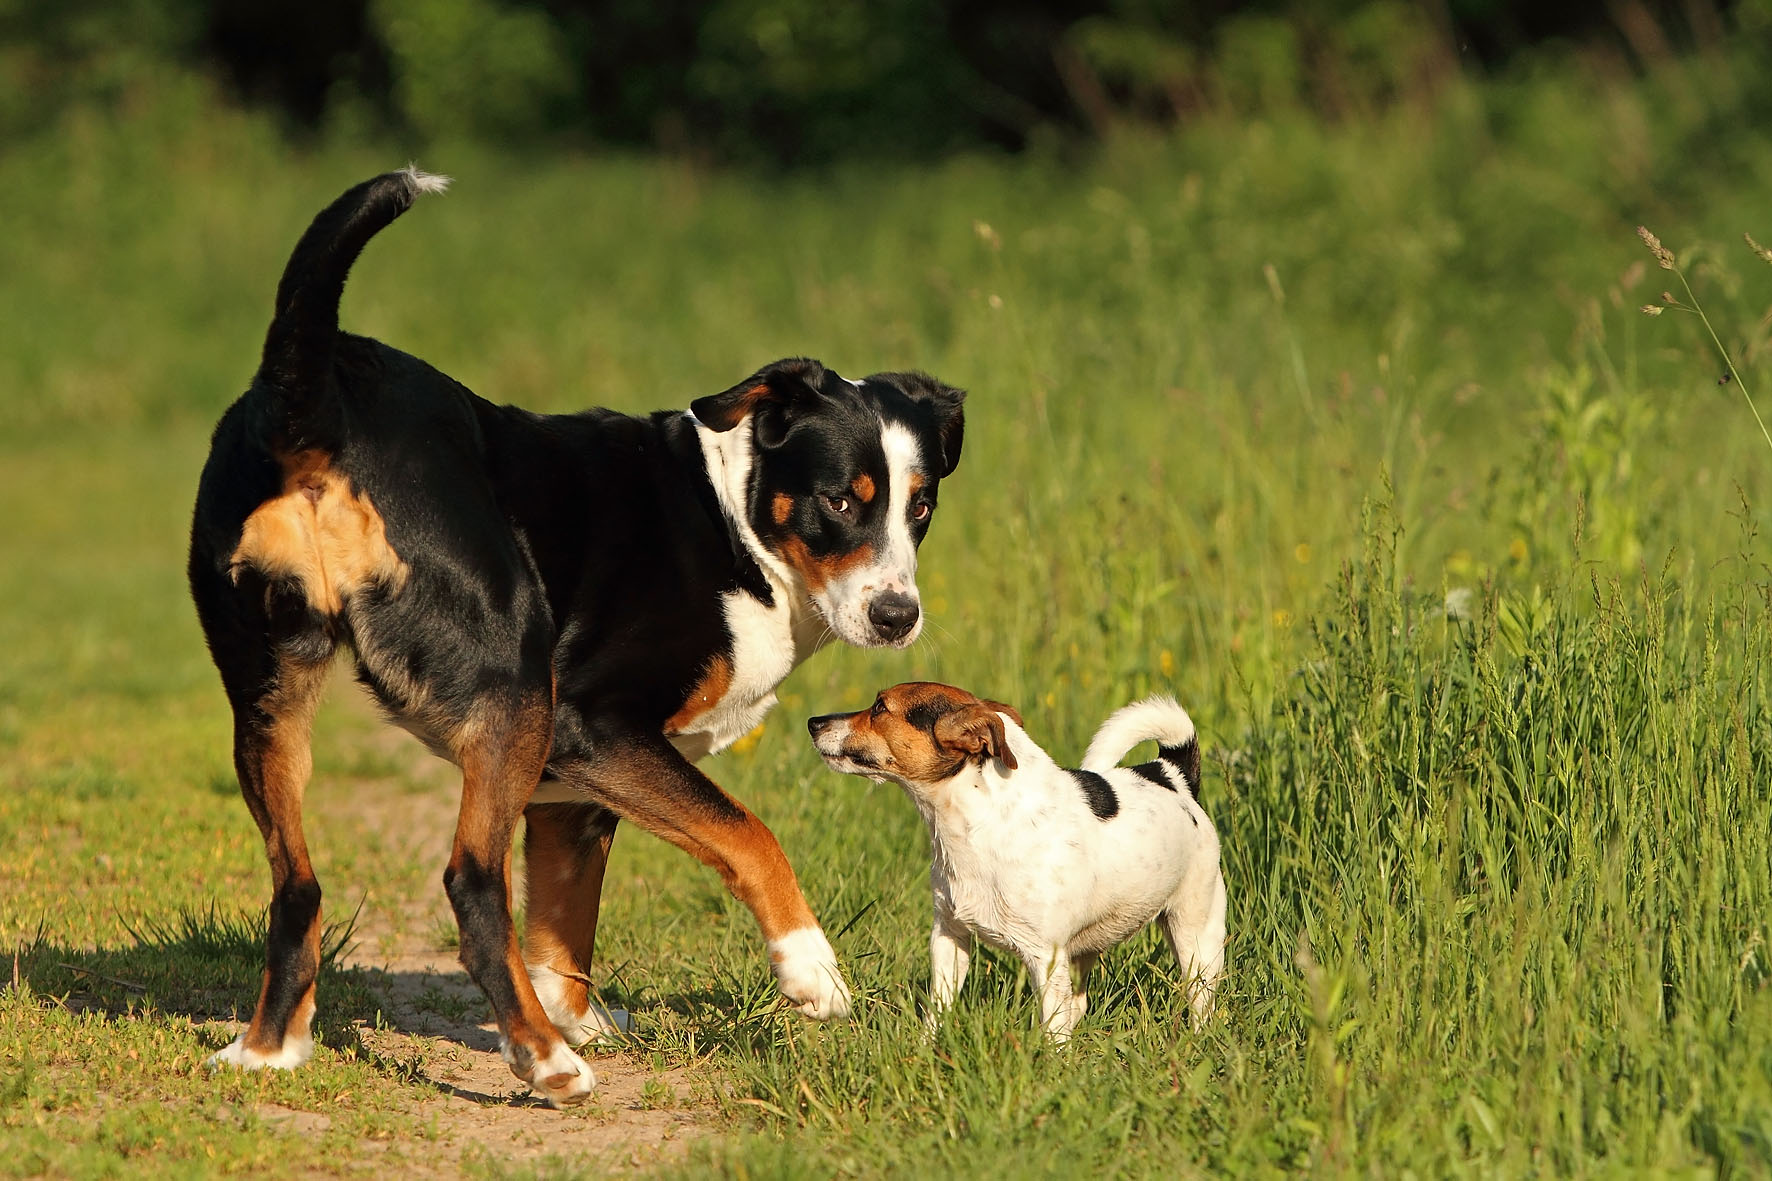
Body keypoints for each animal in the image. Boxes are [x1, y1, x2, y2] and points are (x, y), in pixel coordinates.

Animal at [186, 167, 963, 1106]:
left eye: (920, 506)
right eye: (841, 500)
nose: (897, 616)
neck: (731, 520)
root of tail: (313, 390)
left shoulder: (575, 796)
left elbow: (565, 923)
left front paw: (577, 1013)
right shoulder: (593, 723)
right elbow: (750, 834)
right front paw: (810, 970)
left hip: (271, 695)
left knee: (297, 886)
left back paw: (270, 1048)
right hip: (517, 685)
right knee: (471, 882)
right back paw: (545, 1060)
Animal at [811, 680, 1226, 1042]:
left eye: (880, 708)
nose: (814, 722)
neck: (979, 826)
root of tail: (1171, 775)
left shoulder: (1045, 957)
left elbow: (1053, 1030)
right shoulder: (949, 935)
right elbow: (938, 1007)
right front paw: (926, 1049)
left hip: (1195, 934)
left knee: (1200, 1001)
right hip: (1085, 949)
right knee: (1078, 1003)